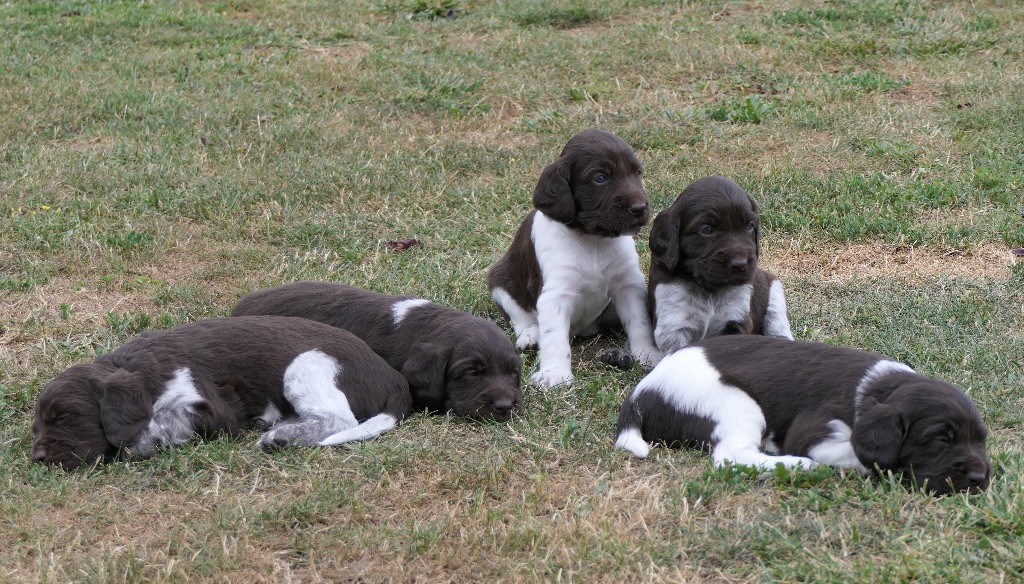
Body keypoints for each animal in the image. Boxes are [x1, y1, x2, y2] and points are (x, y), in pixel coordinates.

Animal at [33, 313, 415, 469]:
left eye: (66, 417)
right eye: (37, 426)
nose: (36, 457)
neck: (140, 373)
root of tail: (393, 378)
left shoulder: (213, 410)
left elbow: (163, 423)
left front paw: (141, 443)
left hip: (307, 365)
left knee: (338, 419)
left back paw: (280, 438)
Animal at [487, 127, 663, 387]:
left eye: (637, 173)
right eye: (600, 178)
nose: (640, 208)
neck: (592, 240)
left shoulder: (628, 285)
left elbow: (639, 323)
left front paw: (647, 354)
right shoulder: (555, 295)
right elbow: (553, 338)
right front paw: (555, 374)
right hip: (500, 280)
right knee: (520, 317)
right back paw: (531, 336)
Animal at [614, 334, 991, 493]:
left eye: (981, 441)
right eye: (940, 440)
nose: (979, 478)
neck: (882, 388)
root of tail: (642, 391)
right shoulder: (814, 432)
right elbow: (862, 455)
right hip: (736, 403)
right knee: (731, 456)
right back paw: (800, 466)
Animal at [647, 175, 790, 352]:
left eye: (750, 226)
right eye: (707, 230)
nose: (740, 264)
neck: (709, 289)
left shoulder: (737, 319)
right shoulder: (673, 325)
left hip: (775, 292)